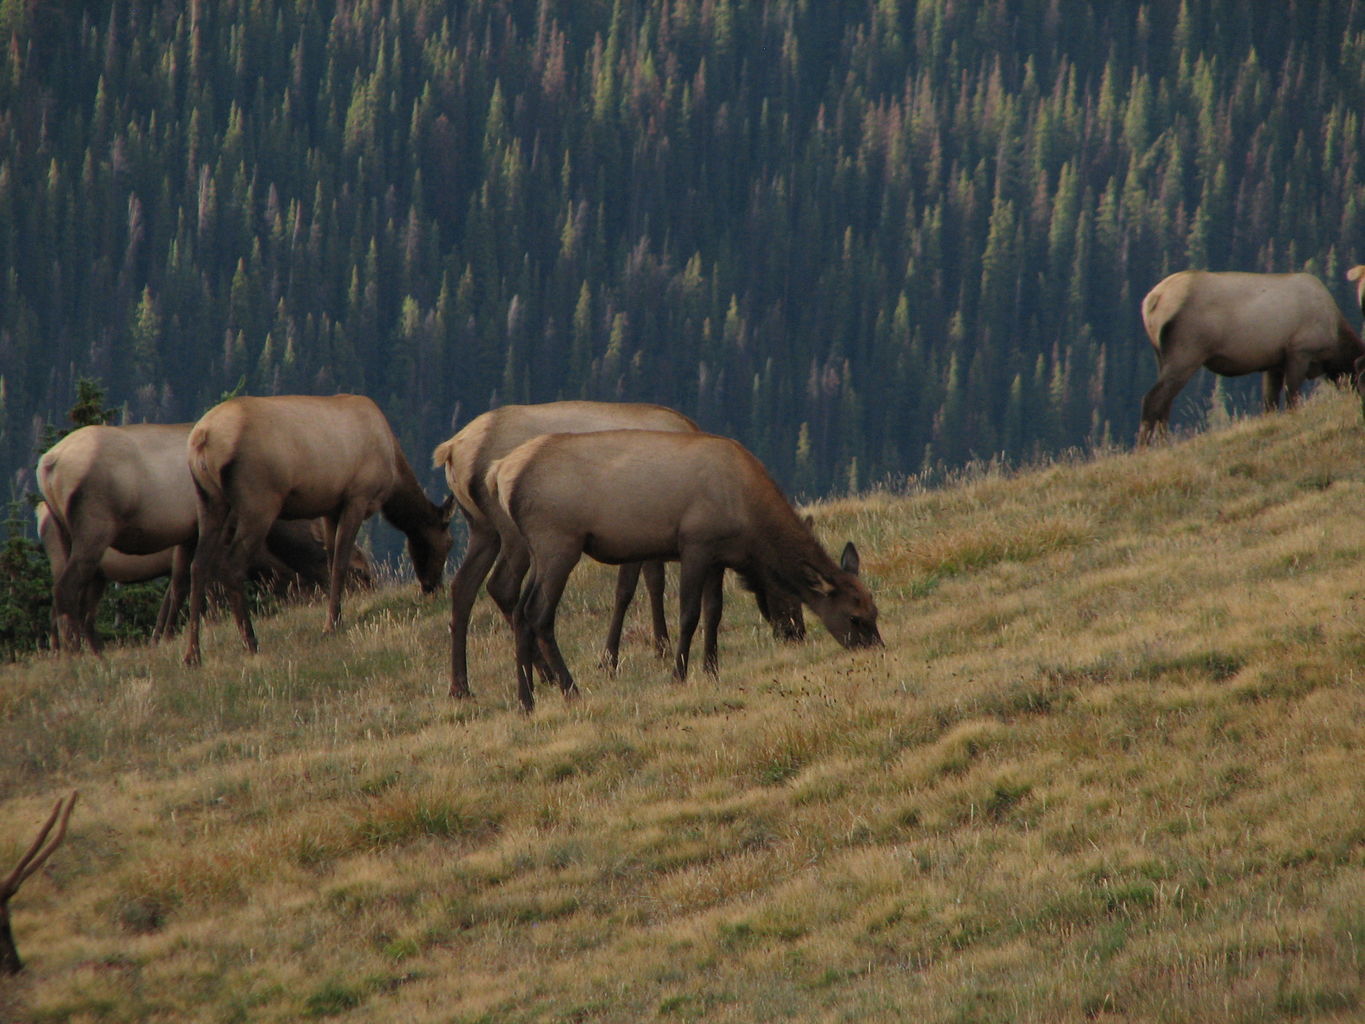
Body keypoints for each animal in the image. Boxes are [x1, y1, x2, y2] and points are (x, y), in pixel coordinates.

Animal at [182, 393, 453, 666]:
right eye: (448, 543)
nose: (433, 587)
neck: (394, 473)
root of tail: (203, 437)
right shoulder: (358, 497)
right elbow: (341, 563)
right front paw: (330, 625)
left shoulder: (330, 508)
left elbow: (331, 562)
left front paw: (336, 618)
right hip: (258, 500)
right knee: (232, 565)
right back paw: (251, 642)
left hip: (208, 500)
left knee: (198, 565)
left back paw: (193, 654)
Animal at [431, 404, 802, 704]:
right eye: (786, 585)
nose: (796, 632)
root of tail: (451, 449)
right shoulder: (639, 532)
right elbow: (631, 589)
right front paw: (621, 656)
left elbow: (649, 584)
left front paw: (649, 647)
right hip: (515, 534)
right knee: (504, 588)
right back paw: (545, 676)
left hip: (483, 529)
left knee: (464, 587)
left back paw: (461, 686)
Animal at [485, 431, 879, 715]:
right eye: (855, 617)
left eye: (876, 611)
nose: (877, 648)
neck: (749, 522)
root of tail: (499, 472)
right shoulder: (695, 544)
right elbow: (688, 614)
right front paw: (679, 674)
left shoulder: (719, 557)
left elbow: (714, 612)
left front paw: (711, 669)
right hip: (558, 542)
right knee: (538, 613)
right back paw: (568, 690)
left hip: (539, 549)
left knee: (520, 611)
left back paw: (527, 701)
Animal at [1135, 273, 1359, 445]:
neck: (1335, 338)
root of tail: (1152, 300)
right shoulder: (1299, 352)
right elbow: (1292, 398)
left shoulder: (1274, 363)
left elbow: (1270, 404)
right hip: (1186, 353)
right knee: (1153, 398)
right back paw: (1144, 448)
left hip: (1162, 357)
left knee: (1166, 401)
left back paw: (1164, 444)